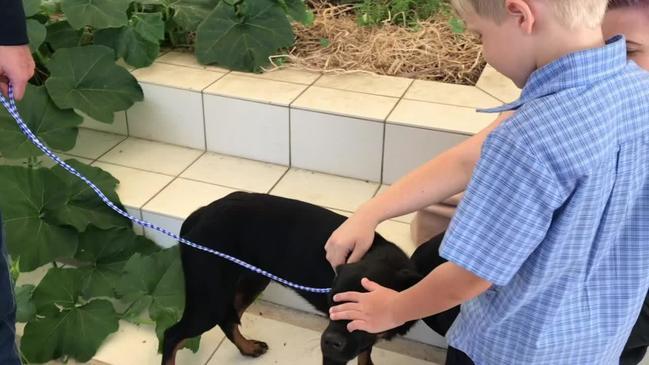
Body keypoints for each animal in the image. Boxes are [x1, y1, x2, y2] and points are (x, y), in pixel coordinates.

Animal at [161, 192, 420, 362]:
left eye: (364, 309)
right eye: (331, 302)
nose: (329, 342)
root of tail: (200, 213)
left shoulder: (362, 340)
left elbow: (365, 355)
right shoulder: (335, 354)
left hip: (252, 282)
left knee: (228, 320)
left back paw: (247, 348)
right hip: (209, 300)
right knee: (172, 335)